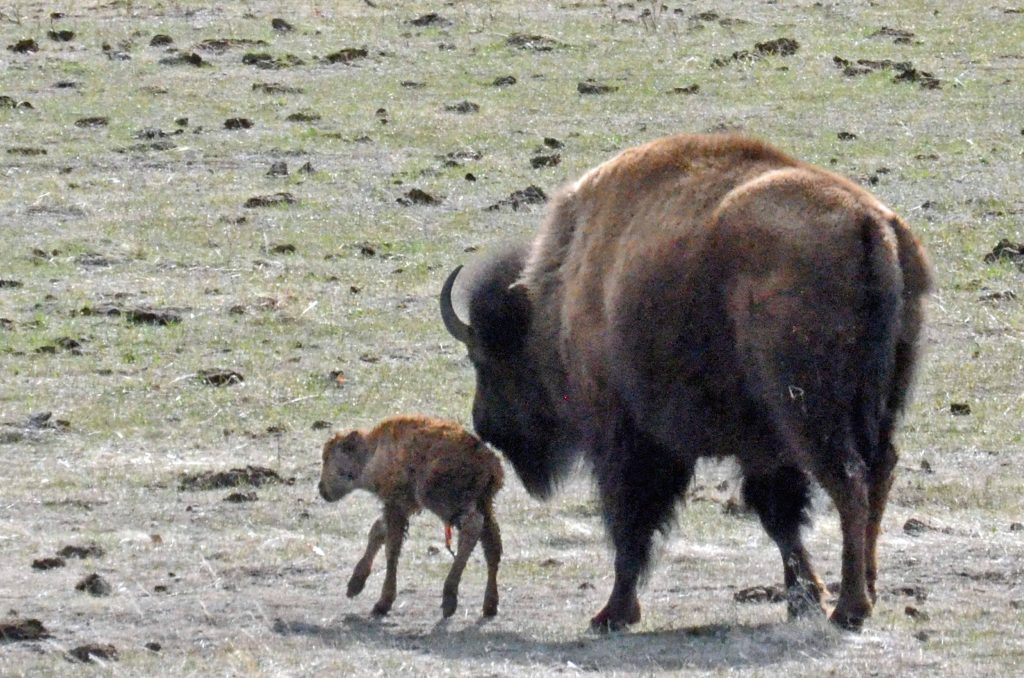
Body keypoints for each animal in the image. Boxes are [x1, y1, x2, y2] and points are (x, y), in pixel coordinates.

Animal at [315, 413, 499, 622]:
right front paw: (355, 585)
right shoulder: (400, 507)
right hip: (484, 504)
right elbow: (377, 531)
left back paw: (449, 599)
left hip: (443, 502)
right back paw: (489, 605)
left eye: (327, 457)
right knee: (492, 545)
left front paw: (383, 603)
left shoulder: (397, 506)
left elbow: (391, 549)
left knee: (473, 527)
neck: (374, 450)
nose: (321, 488)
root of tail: (489, 462)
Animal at [436, 133, 933, 630]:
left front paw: (613, 613)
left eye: (485, 360)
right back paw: (866, 589)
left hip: (811, 413)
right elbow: (779, 518)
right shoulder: (759, 447)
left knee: (849, 482)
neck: (563, 294)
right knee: (879, 473)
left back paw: (850, 607)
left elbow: (630, 522)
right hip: (878, 405)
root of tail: (870, 224)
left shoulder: (629, 440)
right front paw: (803, 597)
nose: (485, 425)